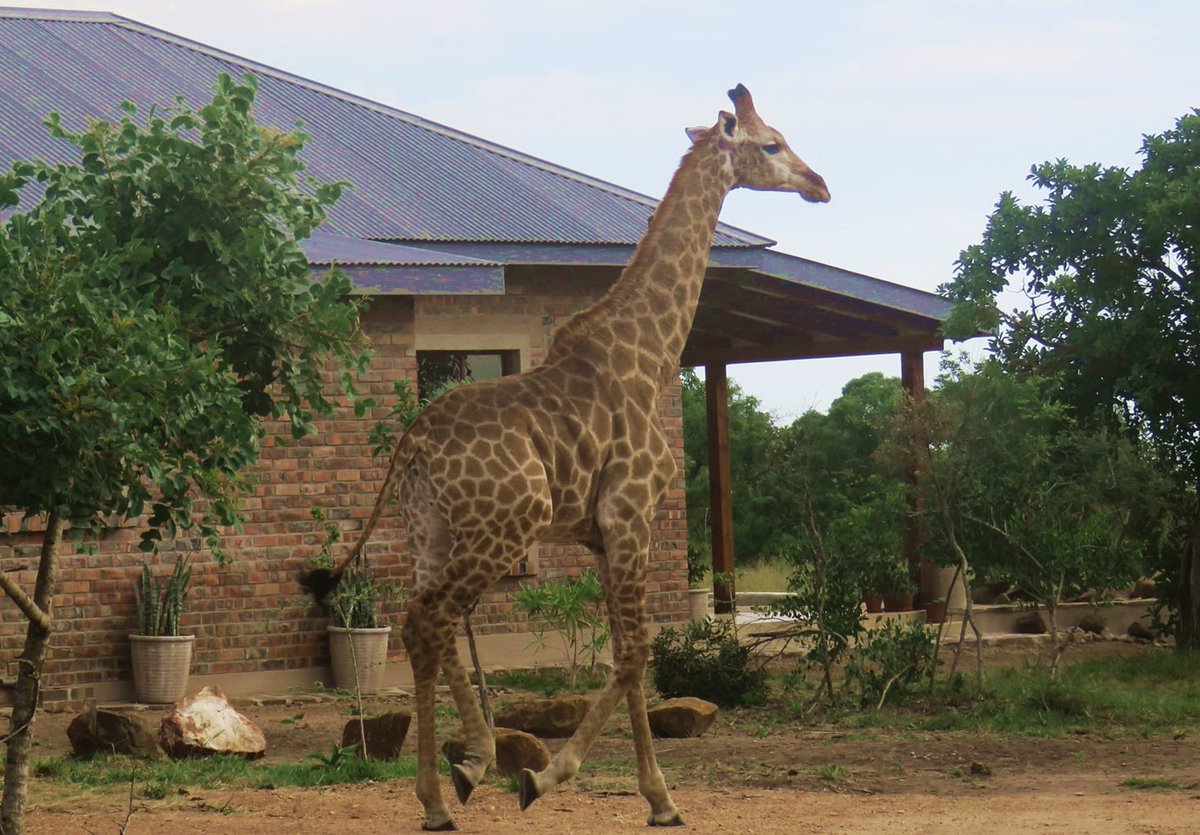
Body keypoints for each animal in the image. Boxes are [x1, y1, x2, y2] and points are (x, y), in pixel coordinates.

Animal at [302, 84, 825, 830]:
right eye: (772, 143)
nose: (819, 184)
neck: (650, 353)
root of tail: (413, 441)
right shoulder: (631, 515)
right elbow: (636, 650)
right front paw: (556, 778)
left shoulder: (600, 536)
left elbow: (627, 651)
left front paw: (656, 797)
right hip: (504, 527)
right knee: (431, 620)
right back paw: (462, 777)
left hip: (433, 531)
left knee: (419, 621)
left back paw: (447, 788)